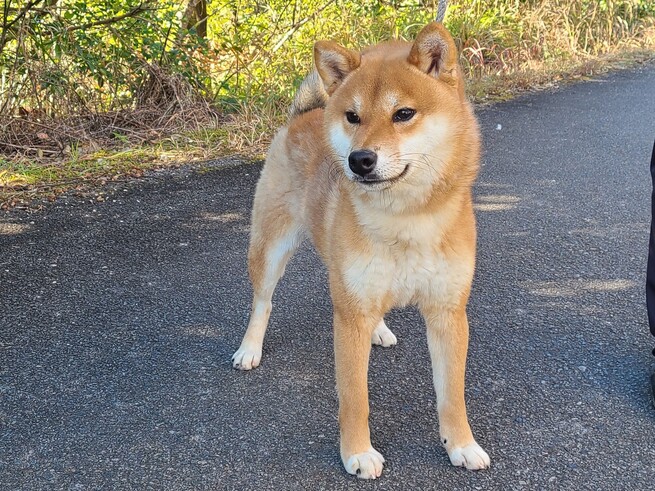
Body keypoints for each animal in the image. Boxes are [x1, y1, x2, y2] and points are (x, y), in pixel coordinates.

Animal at [233, 21, 490, 478]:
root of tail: (303, 116)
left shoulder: (448, 312)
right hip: (271, 247)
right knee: (262, 302)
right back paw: (250, 348)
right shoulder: (349, 317)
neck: (405, 219)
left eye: (403, 114)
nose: (360, 159)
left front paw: (460, 444)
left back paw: (380, 331)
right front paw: (356, 452)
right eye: (353, 117)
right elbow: (355, 398)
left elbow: (452, 396)